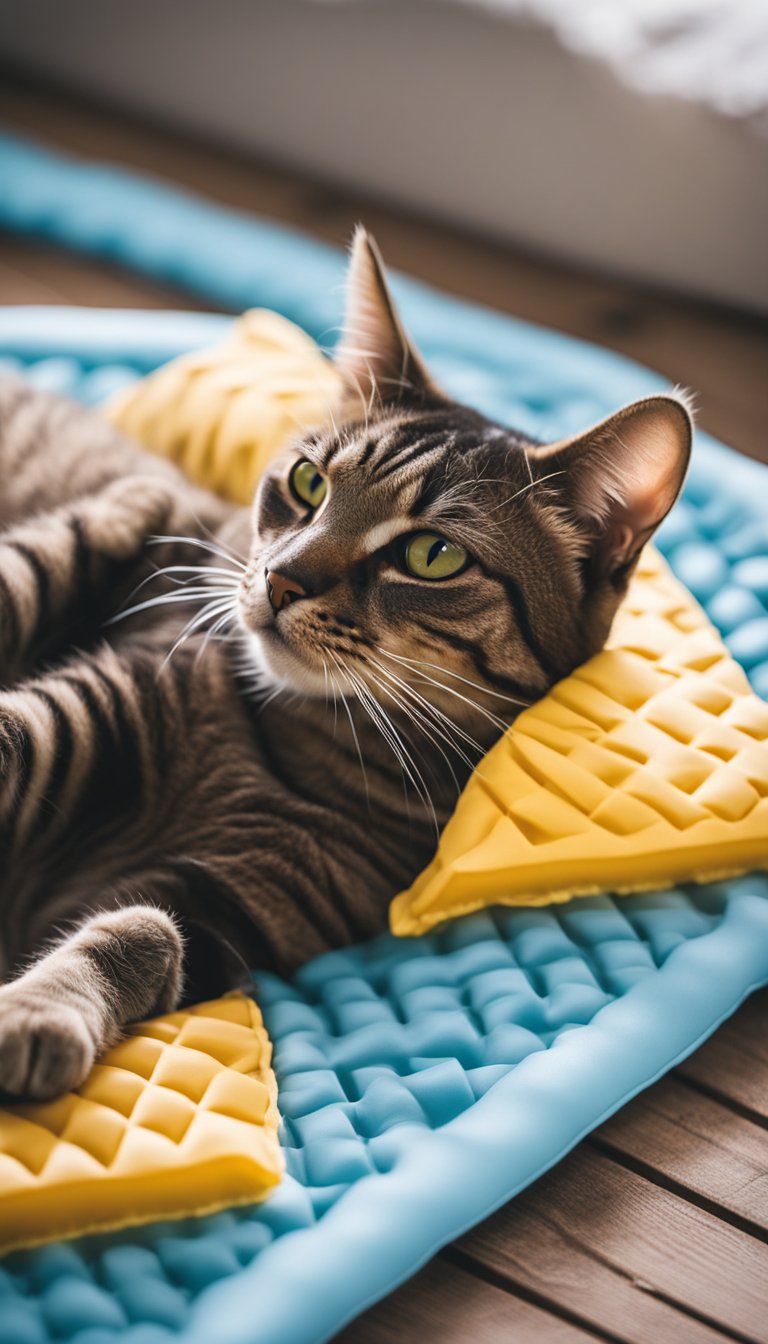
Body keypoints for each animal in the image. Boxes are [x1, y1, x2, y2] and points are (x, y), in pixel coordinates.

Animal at [0, 231, 688, 1096]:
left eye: (433, 555)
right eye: (307, 481)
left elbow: (146, 931)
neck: (286, 743)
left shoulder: (235, 906)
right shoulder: (84, 691)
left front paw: (41, 1011)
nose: (281, 578)